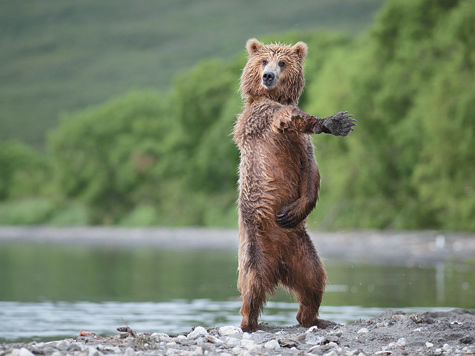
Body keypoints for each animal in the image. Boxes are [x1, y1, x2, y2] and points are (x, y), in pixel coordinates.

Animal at [234, 37, 356, 332]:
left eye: (282, 62)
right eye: (263, 61)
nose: (268, 76)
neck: (271, 97)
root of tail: (278, 267)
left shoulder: (302, 147)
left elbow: (311, 172)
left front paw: (292, 211)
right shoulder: (264, 118)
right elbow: (289, 117)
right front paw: (331, 122)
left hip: (301, 248)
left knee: (314, 279)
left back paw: (314, 318)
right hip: (255, 245)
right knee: (252, 283)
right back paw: (249, 322)